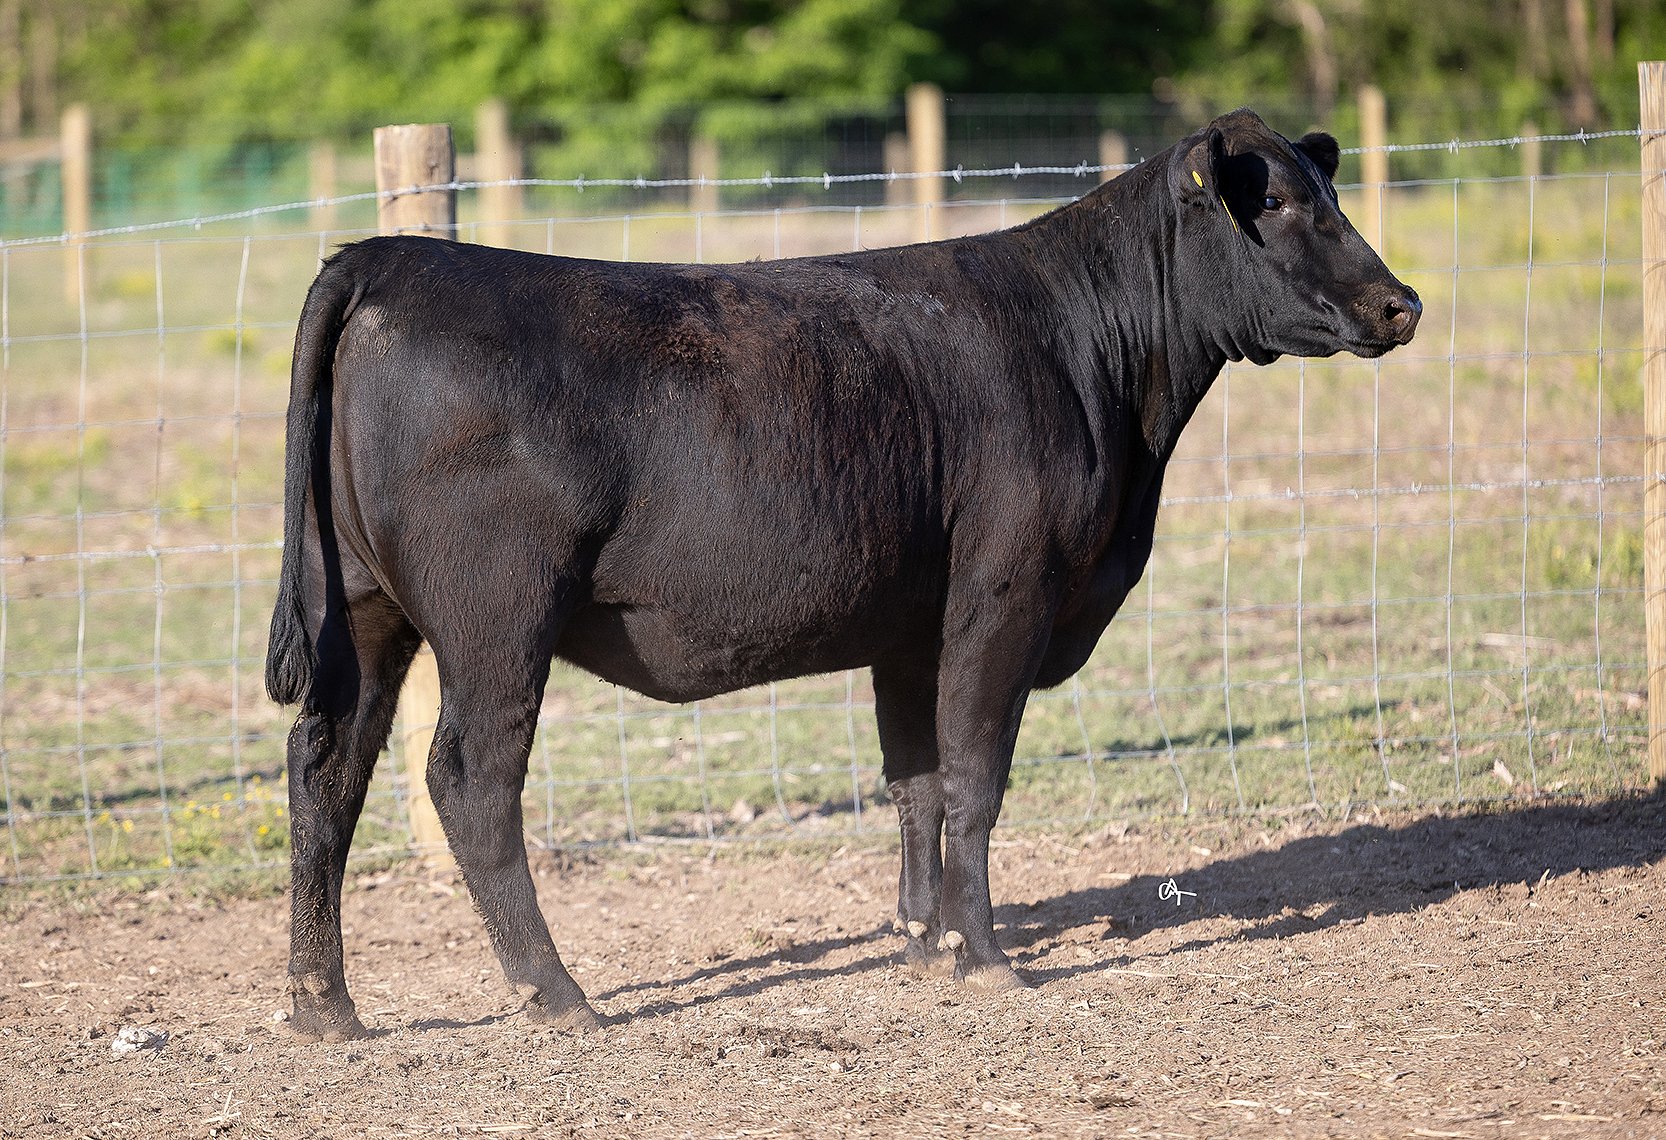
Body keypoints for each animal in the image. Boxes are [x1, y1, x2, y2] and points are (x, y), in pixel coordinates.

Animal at [266, 108, 1419, 1041]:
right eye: (1272, 201)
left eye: (1325, 191)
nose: (1399, 303)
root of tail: (392, 258)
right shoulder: (1007, 593)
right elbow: (974, 777)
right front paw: (987, 957)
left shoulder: (910, 623)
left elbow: (915, 782)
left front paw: (920, 941)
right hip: (497, 620)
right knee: (469, 779)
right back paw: (555, 992)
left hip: (360, 610)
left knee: (328, 767)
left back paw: (326, 1007)